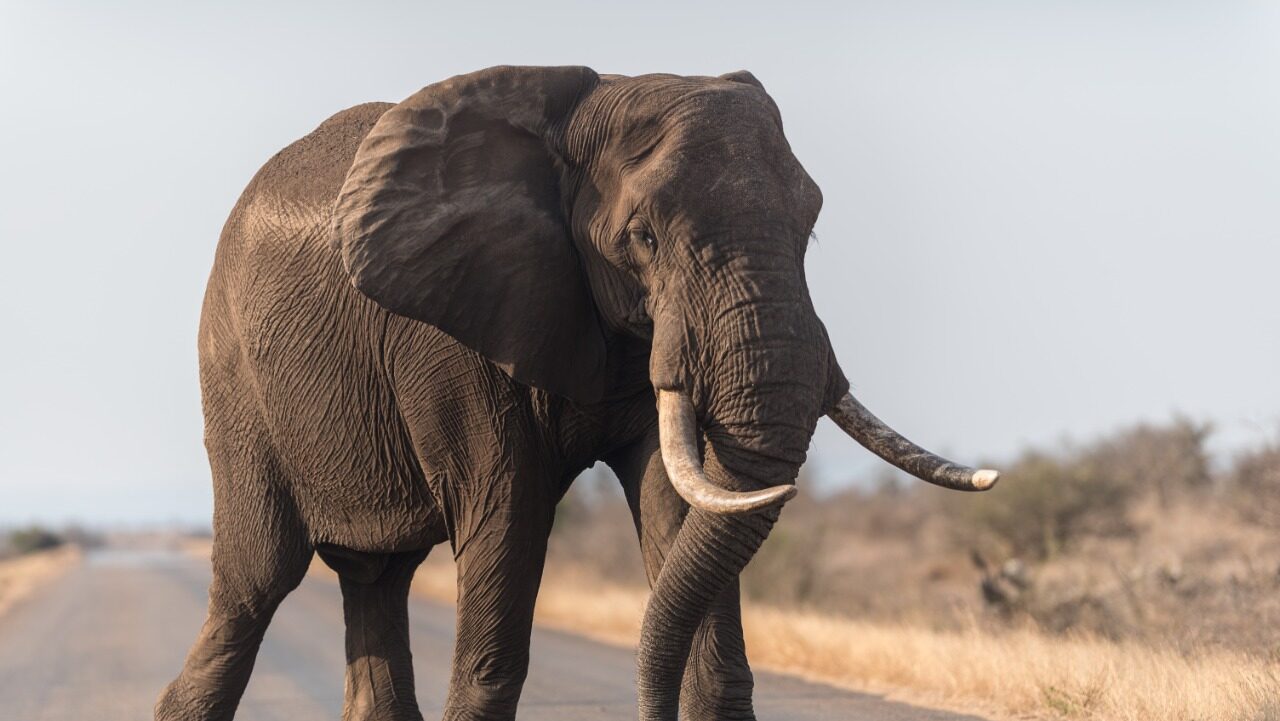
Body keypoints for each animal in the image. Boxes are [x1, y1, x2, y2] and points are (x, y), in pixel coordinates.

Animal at [157, 66, 998, 721]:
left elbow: (679, 504)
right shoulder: (452, 331)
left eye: (811, 226)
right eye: (644, 237)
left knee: (377, 579)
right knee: (255, 582)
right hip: (234, 383)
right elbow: (507, 517)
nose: (647, 707)